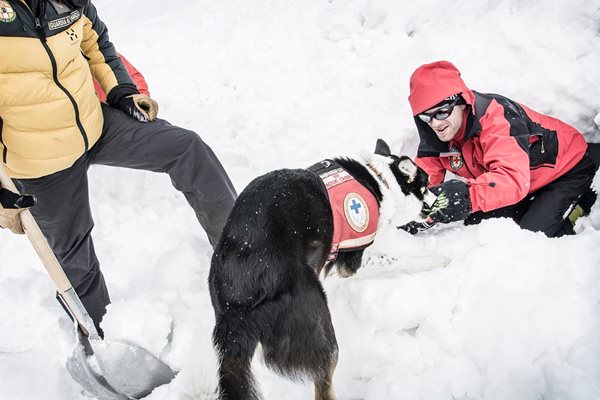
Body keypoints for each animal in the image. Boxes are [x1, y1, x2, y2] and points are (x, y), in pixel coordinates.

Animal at [209, 140, 434, 400]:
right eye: (426, 185)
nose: (438, 197)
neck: (379, 181)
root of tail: (236, 306)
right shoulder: (354, 259)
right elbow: (399, 259)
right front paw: (437, 260)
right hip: (320, 328)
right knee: (323, 385)